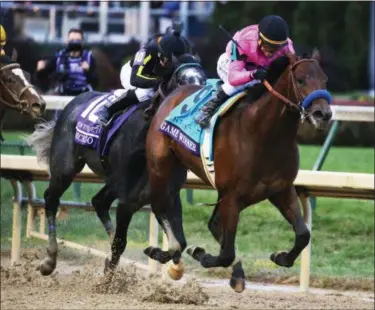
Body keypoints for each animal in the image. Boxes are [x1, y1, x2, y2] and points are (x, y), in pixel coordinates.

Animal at [26, 55, 207, 278]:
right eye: (182, 81)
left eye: (204, 81)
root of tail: (74, 102)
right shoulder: (127, 201)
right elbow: (120, 244)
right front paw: (108, 279)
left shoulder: (165, 196)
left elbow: (178, 243)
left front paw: (162, 258)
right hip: (65, 169)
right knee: (51, 198)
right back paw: (49, 261)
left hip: (112, 181)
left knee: (99, 201)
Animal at [144, 49, 332, 292]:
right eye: (300, 80)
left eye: (325, 79)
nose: (323, 114)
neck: (264, 135)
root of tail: (173, 93)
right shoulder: (232, 197)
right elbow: (225, 254)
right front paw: (200, 253)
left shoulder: (280, 190)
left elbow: (303, 234)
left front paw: (281, 256)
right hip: (161, 167)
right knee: (161, 206)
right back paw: (168, 250)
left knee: (212, 224)